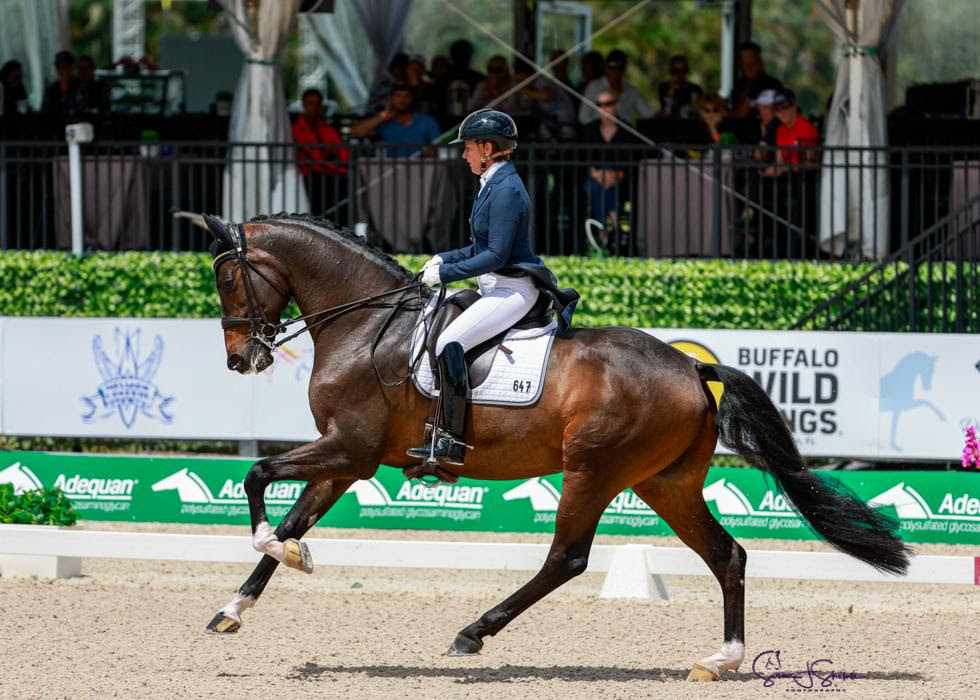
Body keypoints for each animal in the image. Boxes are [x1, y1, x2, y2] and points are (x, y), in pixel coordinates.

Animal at [201, 215, 912, 684]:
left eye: (229, 278)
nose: (239, 359)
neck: (368, 325)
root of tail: (691, 368)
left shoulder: (350, 450)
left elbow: (258, 477)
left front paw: (284, 555)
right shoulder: (347, 458)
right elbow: (292, 515)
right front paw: (233, 609)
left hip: (593, 469)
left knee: (566, 558)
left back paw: (472, 633)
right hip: (665, 483)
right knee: (726, 555)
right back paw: (720, 660)